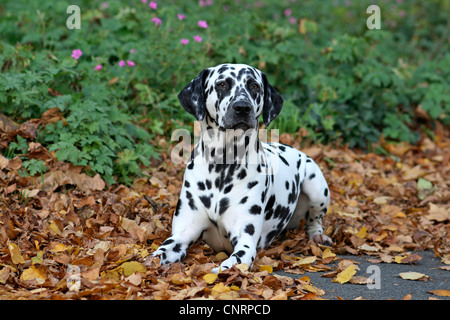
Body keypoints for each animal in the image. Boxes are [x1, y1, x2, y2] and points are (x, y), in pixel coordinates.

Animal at [151, 64, 330, 272]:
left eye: (254, 86)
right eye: (221, 84)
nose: (242, 107)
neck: (223, 166)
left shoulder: (245, 241)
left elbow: (230, 263)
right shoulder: (182, 233)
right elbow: (159, 252)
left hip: (317, 188)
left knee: (315, 220)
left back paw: (318, 235)